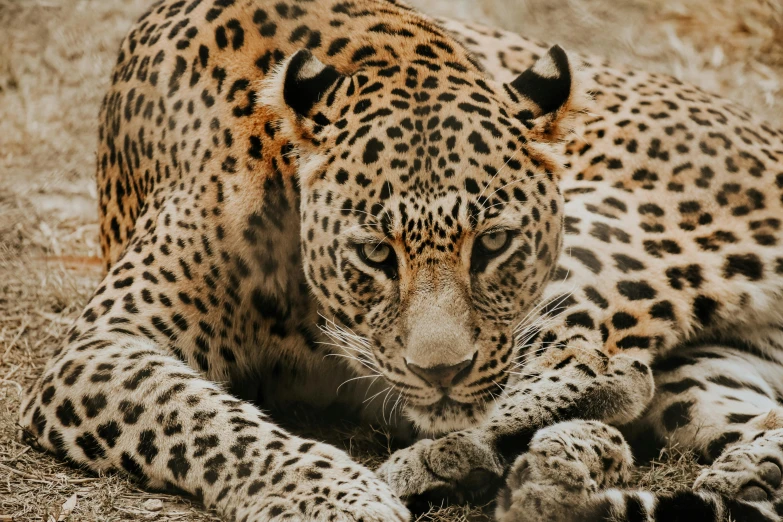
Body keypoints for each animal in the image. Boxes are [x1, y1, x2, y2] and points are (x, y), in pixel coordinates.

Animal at [13, 0, 783, 516]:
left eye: (493, 242)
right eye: (375, 254)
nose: (442, 372)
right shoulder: (102, 348)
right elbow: (209, 425)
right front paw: (342, 497)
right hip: (706, 366)